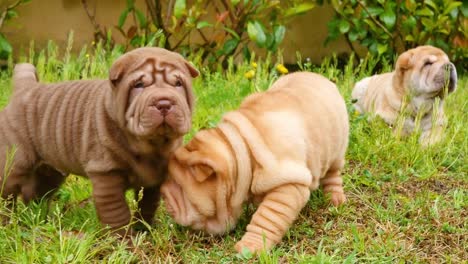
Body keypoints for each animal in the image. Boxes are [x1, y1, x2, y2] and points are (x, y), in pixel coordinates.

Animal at [0, 47, 198, 233]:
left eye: (178, 83)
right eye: (139, 85)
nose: (164, 103)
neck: (151, 145)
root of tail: (24, 89)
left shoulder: (156, 178)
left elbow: (148, 205)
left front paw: (144, 229)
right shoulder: (105, 173)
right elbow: (116, 212)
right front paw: (124, 240)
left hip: (51, 169)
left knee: (37, 191)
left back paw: (38, 218)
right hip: (15, 161)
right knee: (8, 192)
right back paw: (8, 224)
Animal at [161, 71, 348, 252]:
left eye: (179, 187)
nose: (163, 195)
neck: (241, 149)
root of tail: (320, 77)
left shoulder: (288, 186)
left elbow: (267, 219)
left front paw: (250, 247)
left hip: (337, 150)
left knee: (333, 174)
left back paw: (334, 199)